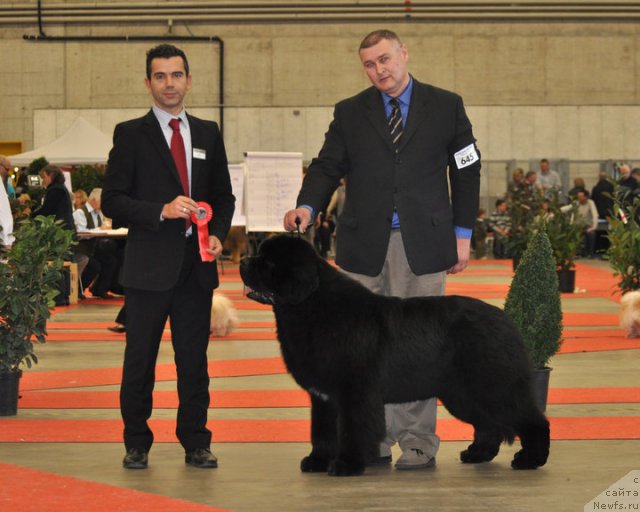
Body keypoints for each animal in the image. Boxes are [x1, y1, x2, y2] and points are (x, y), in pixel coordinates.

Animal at [240, 236, 552, 476]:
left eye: (268, 263)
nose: (243, 261)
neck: (311, 306)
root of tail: (505, 319)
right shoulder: (323, 397)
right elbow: (322, 431)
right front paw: (317, 461)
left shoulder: (354, 391)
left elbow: (352, 428)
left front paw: (347, 464)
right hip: (462, 393)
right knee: (488, 423)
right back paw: (477, 454)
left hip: (492, 385)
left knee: (531, 420)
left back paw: (529, 460)